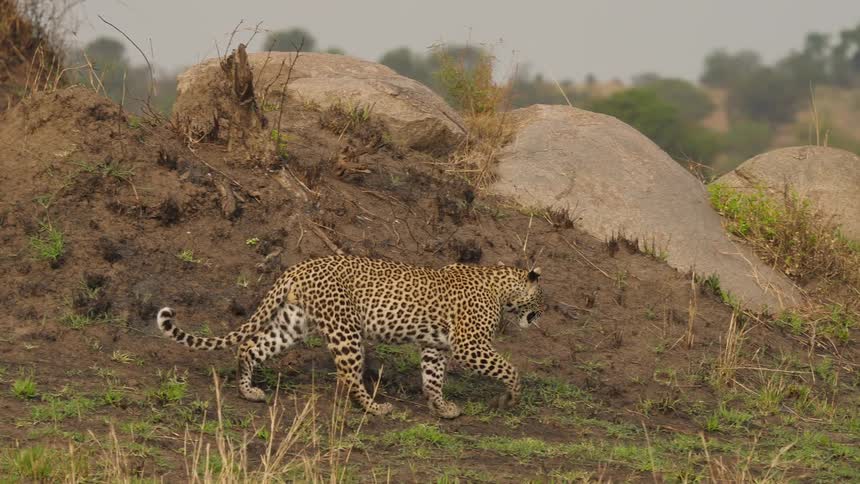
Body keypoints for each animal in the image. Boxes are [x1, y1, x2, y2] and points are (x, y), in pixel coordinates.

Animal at [156, 255, 544, 418]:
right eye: (540, 298)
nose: (540, 315)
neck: (502, 288)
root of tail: (300, 266)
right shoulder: (469, 345)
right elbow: (510, 369)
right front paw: (511, 399)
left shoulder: (435, 346)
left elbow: (433, 378)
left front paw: (442, 407)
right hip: (346, 329)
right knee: (349, 375)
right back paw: (374, 407)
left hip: (294, 324)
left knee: (251, 346)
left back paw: (248, 391)